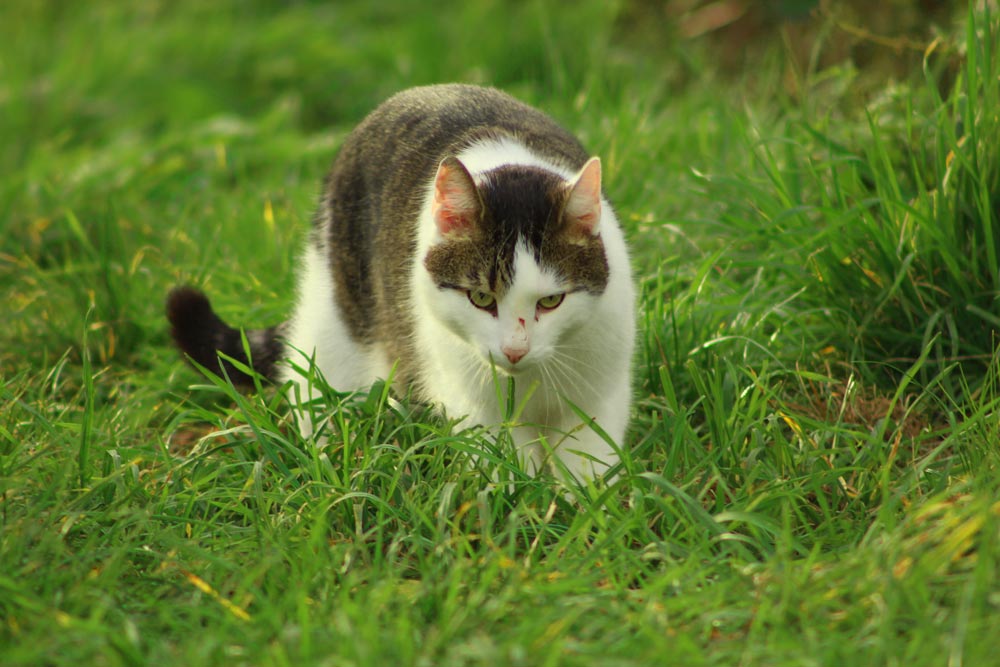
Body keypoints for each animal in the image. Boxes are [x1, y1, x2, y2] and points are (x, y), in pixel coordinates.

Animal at [164, 83, 632, 482]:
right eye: (481, 297)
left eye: (551, 301)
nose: (515, 351)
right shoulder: (476, 406)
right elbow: (508, 469)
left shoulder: (598, 396)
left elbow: (588, 464)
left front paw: (582, 511)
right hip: (334, 324)